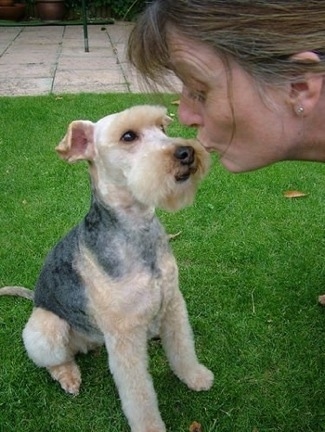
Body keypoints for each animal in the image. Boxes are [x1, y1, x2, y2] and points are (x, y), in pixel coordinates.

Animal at [0, 104, 213, 432]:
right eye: (128, 136)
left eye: (162, 128)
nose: (186, 152)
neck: (136, 231)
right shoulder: (124, 336)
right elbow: (138, 394)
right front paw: (150, 427)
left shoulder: (173, 304)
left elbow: (182, 349)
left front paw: (196, 377)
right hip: (47, 329)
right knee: (54, 360)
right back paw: (69, 377)